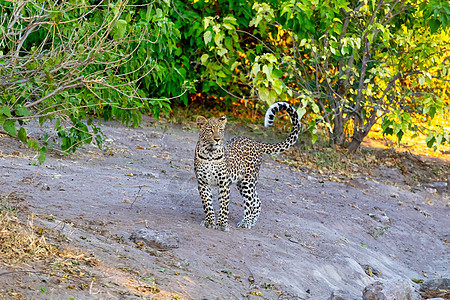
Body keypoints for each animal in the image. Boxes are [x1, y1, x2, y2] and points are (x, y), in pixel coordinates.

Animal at [192, 102, 298, 231]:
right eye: (210, 130)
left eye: (221, 130)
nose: (217, 139)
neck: (210, 154)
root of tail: (256, 142)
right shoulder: (203, 182)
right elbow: (207, 204)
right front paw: (210, 221)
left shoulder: (224, 183)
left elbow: (224, 206)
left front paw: (222, 224)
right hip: (241, 182)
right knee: (257, 201)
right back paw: (251, 221)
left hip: (248, 181)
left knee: (250, 202)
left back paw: (246, 222)